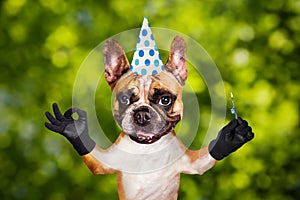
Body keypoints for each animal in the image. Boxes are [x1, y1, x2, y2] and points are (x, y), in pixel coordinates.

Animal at [45, 35, 254, 198]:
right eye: (125, 99)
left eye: (165, 100)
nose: (142, 114)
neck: (146, 149)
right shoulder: (110, 160)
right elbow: (98, 160)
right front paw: (73, 128)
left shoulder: (185, 161)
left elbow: (203, 161)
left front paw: (230, 138)